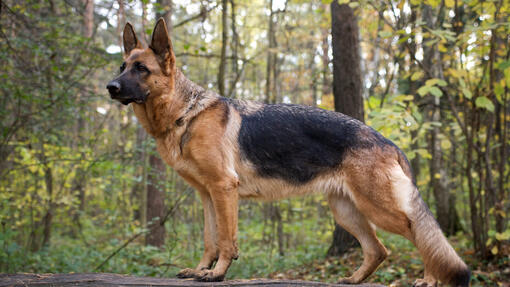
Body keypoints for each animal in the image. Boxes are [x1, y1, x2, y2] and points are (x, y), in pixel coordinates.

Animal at [106, 19, 470, 286]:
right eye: (123, 65)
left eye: (141, 69)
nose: (110, 87)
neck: (185, 113)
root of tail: (389, 142)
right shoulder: (208, 196)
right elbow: (211, 238)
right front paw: (201, 269)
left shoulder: (224, 190)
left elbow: (226, 239)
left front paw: (218, 273)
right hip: (346, 212)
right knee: (378, 250)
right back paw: (353, 279)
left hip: (379, 209)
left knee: (419, 233)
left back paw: (429, 279)